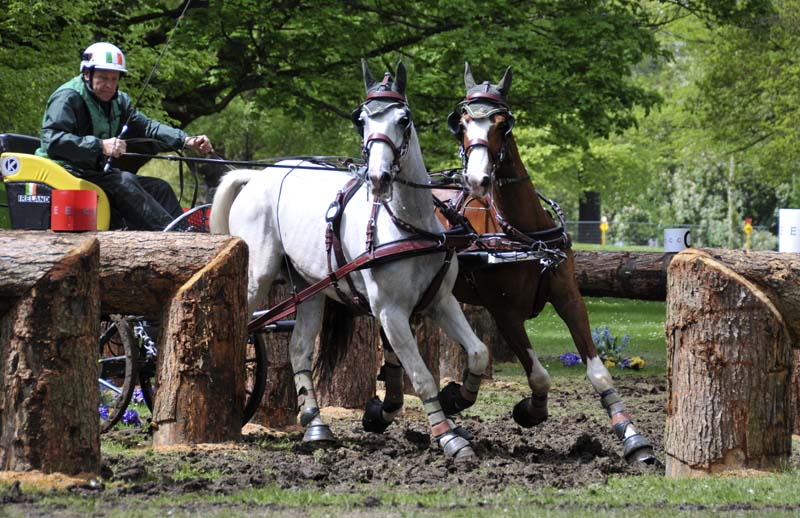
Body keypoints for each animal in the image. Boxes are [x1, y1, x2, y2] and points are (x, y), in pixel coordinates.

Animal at [210, 60, 489, 462]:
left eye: (404, 119)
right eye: (362, 120)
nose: (378, 176)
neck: (408, 226)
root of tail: (259, 176)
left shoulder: (440, 301)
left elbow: (479, 352)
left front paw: (458, 398)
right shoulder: (390, 313)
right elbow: (421, 377)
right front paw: (448, 436)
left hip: (309, 287)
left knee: (299, 348)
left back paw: (315, 425)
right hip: (255, 278)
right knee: (241, 328)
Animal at [436, 63, 655, 464]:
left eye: (502, 123)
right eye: (461, 123)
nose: (476, 179)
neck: (524, 233)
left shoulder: (568, 296)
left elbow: (598, 372)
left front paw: (632, 437)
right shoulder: (505, 313)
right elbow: (538, 375)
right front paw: (528, 410)